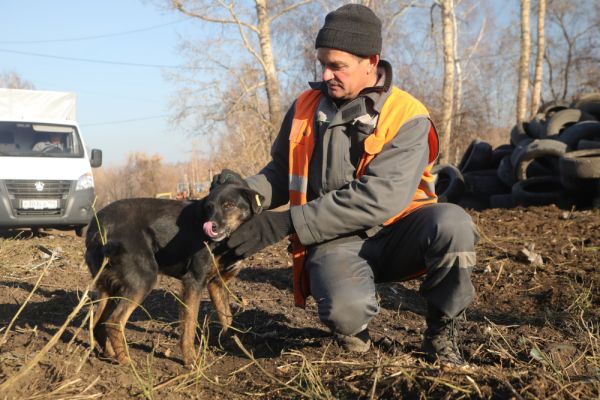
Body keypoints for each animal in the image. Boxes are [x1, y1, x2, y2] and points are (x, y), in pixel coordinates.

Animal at [85, 182, 264, 366]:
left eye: (229, 205)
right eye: (209, 207)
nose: (211, 226)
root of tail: (96, 227)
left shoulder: (217, 284)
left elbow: (226, 318)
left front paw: (232, 345)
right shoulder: (193, 281)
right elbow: (189, 324)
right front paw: (190, 359)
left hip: (111, 286)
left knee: (98, 324)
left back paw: (110, 355)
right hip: (143, 279)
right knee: (114, 322)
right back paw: (126, 361)